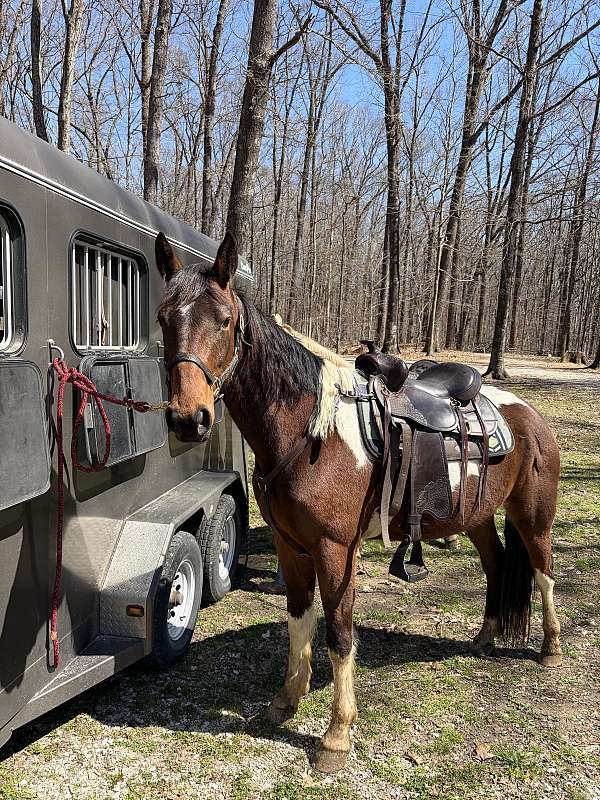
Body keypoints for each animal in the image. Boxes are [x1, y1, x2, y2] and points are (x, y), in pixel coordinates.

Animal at [155, 231, 562, 774]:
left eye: (223, 320)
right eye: (163, 318)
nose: (188, 418)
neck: (308, 431)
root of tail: (528, 415)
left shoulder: (335, 551)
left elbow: (340, 635)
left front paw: (336, 735)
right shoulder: (291, 548)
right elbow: (299, 621)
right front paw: (286, 701)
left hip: (533, 516)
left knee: (542, 571)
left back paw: (551, 647)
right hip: (475, 516)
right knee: (497, 564)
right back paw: (485, 637)